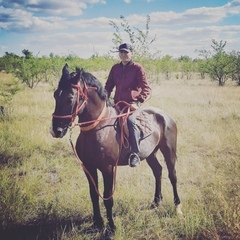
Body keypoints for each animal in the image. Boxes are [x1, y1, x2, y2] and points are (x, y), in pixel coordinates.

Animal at [50, 64, 182, 233]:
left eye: (70, 98)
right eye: (55, 95)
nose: (56, 130)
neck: (99, 129)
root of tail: (165, 115)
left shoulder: (107, 168)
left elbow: (108, 198)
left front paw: (111, 227)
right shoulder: (88, 167)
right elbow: (94, 194)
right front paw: (97, 223)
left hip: (169, 151)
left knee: (172, 176)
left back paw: (177, 206)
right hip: (150, 154)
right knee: (158, 171)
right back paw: (156, 201)